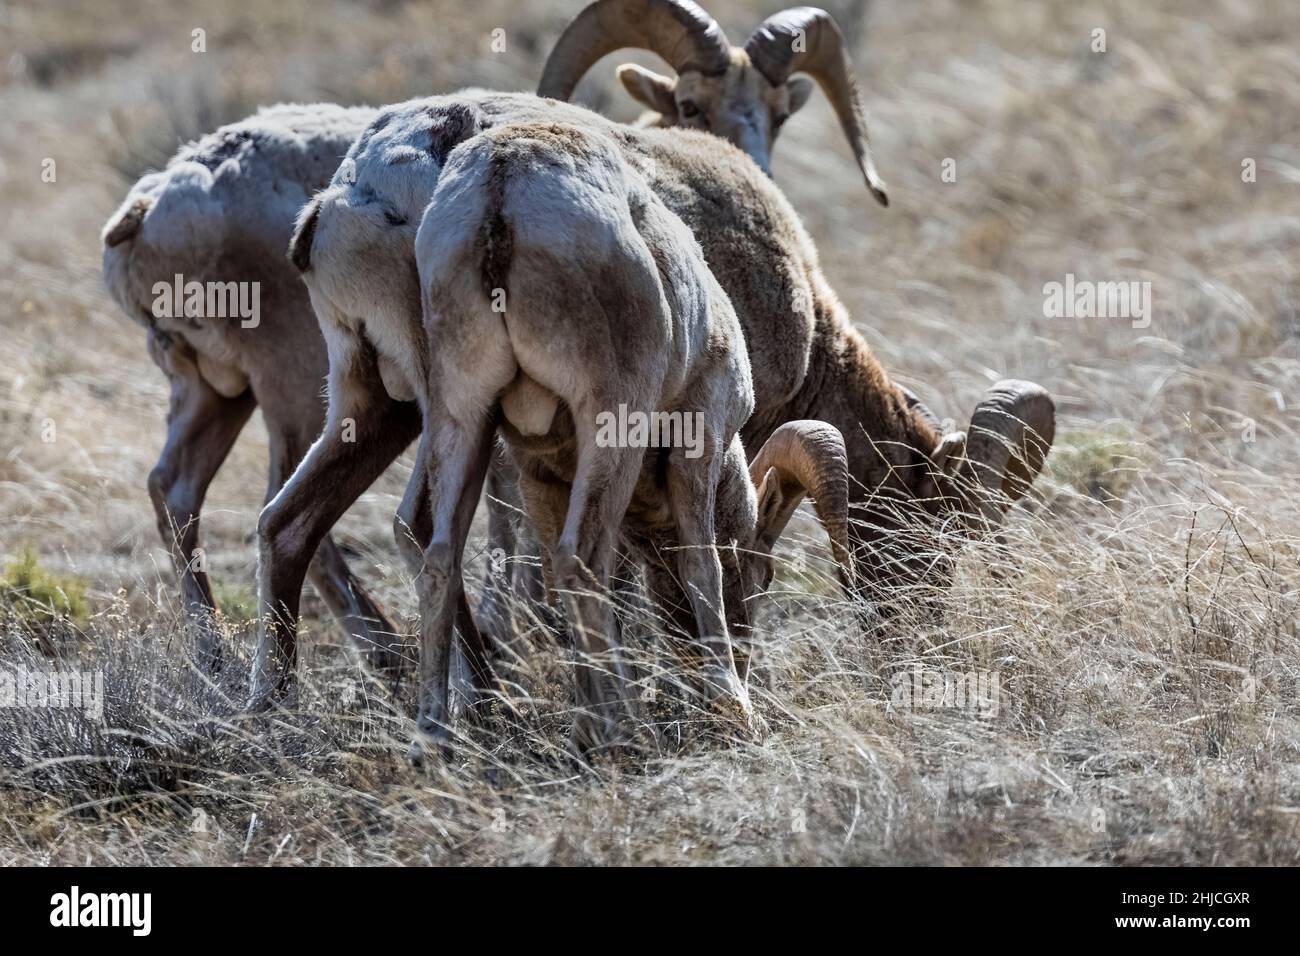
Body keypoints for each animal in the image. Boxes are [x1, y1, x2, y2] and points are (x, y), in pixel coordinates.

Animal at [266, 91, 1055, 733]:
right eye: (927, 542)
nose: (913, 644)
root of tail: (350, 198)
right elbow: (675, 562)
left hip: (385, 405)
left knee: (302, 526)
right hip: (464, 410)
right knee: (433, 531)